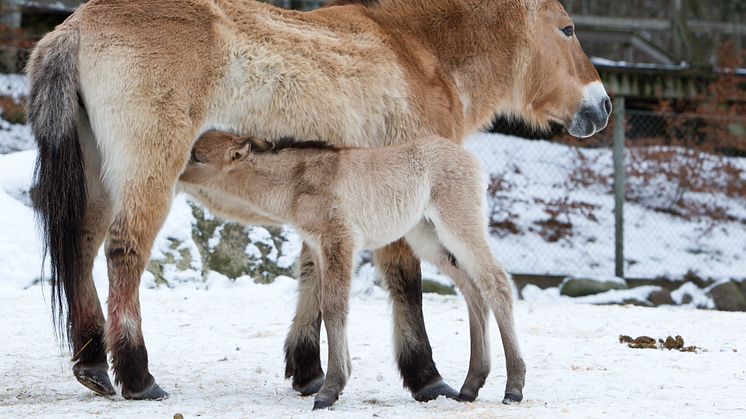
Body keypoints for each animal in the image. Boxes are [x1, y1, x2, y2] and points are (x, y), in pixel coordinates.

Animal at [179, 132, 524, 410]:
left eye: (196, 156)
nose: (174, 175)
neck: (297, 184)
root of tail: (470, 158)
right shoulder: (319, 247)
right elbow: (324, 305)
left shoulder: (340, 242)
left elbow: (334, 308)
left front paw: (329, 391)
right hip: (428, 239)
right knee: (472, 289)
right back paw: (470, 386)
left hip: (459, 226)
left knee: (496, 283)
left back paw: (513, 388)